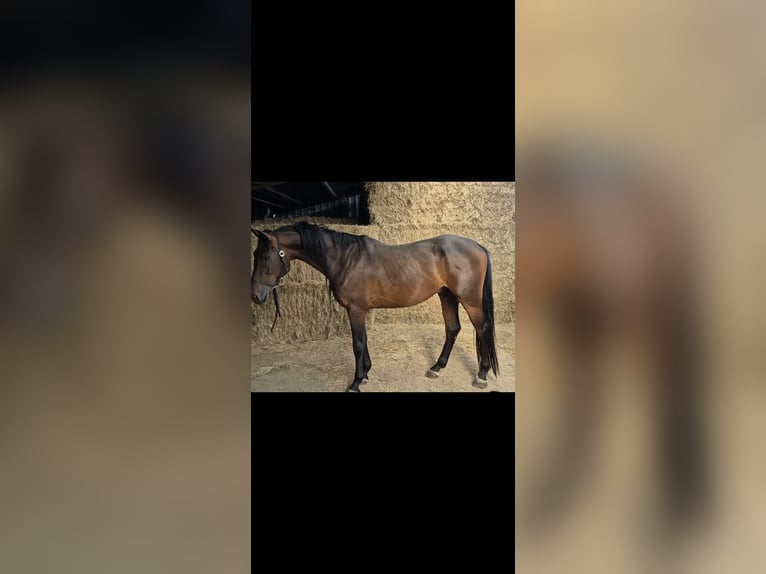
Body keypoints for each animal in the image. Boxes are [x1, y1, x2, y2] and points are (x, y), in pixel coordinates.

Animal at [251, 222, 498, 392]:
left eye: (265, 256)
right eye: (257, 254)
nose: (256, 296)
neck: (346, 259)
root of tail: (477, 246)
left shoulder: (356, 310)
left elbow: (358, 344)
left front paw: (356, 382)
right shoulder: (360, 310)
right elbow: (364, 340)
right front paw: (366, 373)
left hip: (470, 299)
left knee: (483, 329)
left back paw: (482, 375)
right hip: (447, 295)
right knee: (452, 329)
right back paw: (437, 368)